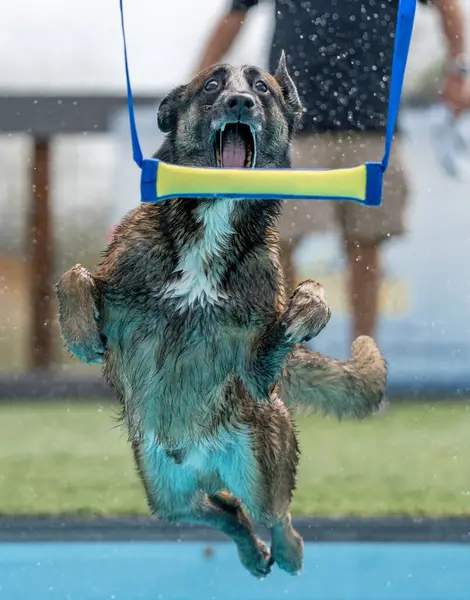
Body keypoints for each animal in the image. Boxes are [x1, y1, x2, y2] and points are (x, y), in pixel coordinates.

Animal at [56, 54, 386, 580]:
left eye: (262, 89)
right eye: (211, 85)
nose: (239, 102)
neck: (212, 224)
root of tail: (198, 460)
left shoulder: (256, 370)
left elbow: (294, 318)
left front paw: (307, 309)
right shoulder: (120, 292)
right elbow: (76, 275)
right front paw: (81, 330)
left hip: (256, 467)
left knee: (271, 512)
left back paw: (286, 551)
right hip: (165, 493)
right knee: (224, 510)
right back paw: (252, 553)